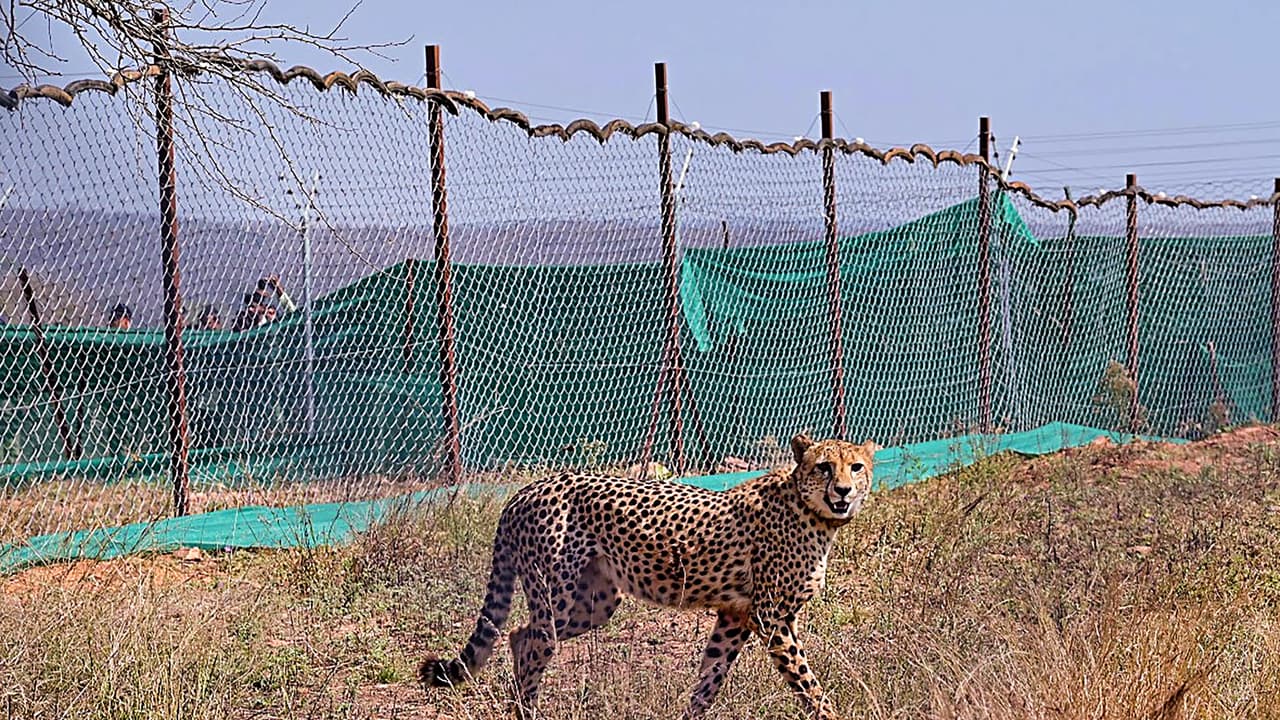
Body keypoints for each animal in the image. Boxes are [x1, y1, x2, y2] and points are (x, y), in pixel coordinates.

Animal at [420, 433, 879, 719]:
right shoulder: (771, 618)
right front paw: (831, 714)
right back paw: (526, 712)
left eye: (856, 467)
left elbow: (709, 680)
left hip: (595, 604)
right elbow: (808, 685)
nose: (843, 490)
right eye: (824, 467)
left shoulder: (735, 616)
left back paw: (523, 705)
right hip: (557, 596)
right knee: (534, 641)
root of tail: (525, 491)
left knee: (519, 635)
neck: (811, 511)